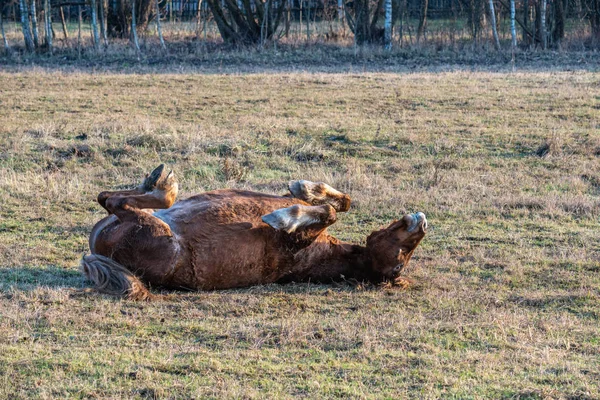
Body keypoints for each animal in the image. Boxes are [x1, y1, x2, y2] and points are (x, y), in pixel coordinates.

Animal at [82, 164, 428, 298]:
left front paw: (283, 217)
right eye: (403, 253)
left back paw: (163, 186)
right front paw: (304, 188)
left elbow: (327, 213)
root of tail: (96, 250)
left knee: (116, 201)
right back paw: (156, 180)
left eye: (398, 264)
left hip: (154, 232)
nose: (422, 221)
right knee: (106, 197)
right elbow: (340, 202)